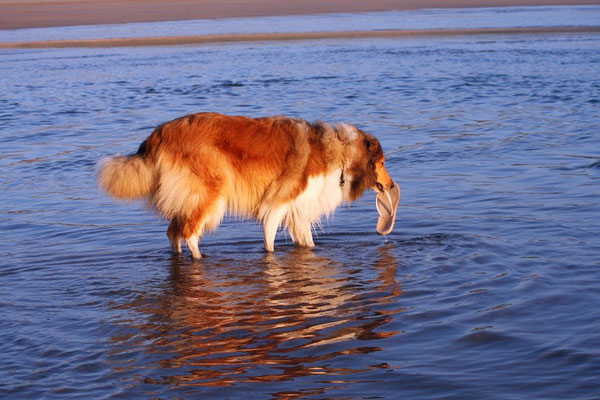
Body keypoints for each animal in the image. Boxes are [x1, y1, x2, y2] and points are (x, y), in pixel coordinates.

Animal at [99, 111, 398, 260]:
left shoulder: (299, 212)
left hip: (185, 199)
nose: (392, 184)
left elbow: (307, 242)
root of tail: (157, 135)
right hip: (210, 193)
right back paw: (199, 259)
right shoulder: (278, 204)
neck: (338, 153)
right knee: (188, 233)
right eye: (383, 162)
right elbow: (269, 239)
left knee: (173, 233)